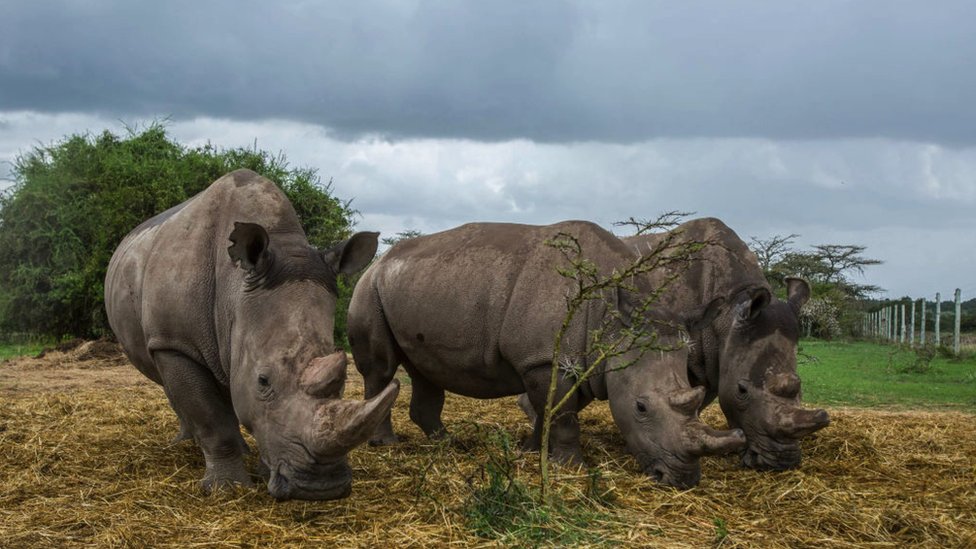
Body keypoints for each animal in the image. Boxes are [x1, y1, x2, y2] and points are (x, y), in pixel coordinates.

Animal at [104, 169, 399, 500]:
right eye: (263, 381)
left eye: (344, 379)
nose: (322, 487)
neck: (233, 293)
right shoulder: (175, 341)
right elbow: (209, 415)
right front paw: (226, 489)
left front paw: (260, 471)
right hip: (163, 337)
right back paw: (186, 444)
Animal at [348, 221, 746, 489]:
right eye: (641, 408)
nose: (681, 479)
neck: (612, 323)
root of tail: (380, 261)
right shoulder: (543, 359)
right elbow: (564, 415)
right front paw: (572, 468)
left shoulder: (572, 363)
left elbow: (551, 412)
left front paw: (529, 451)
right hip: (369, 288)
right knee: (381, 369)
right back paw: (386, 443)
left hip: (417, 284)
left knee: (425, 371)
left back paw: (447, 442)